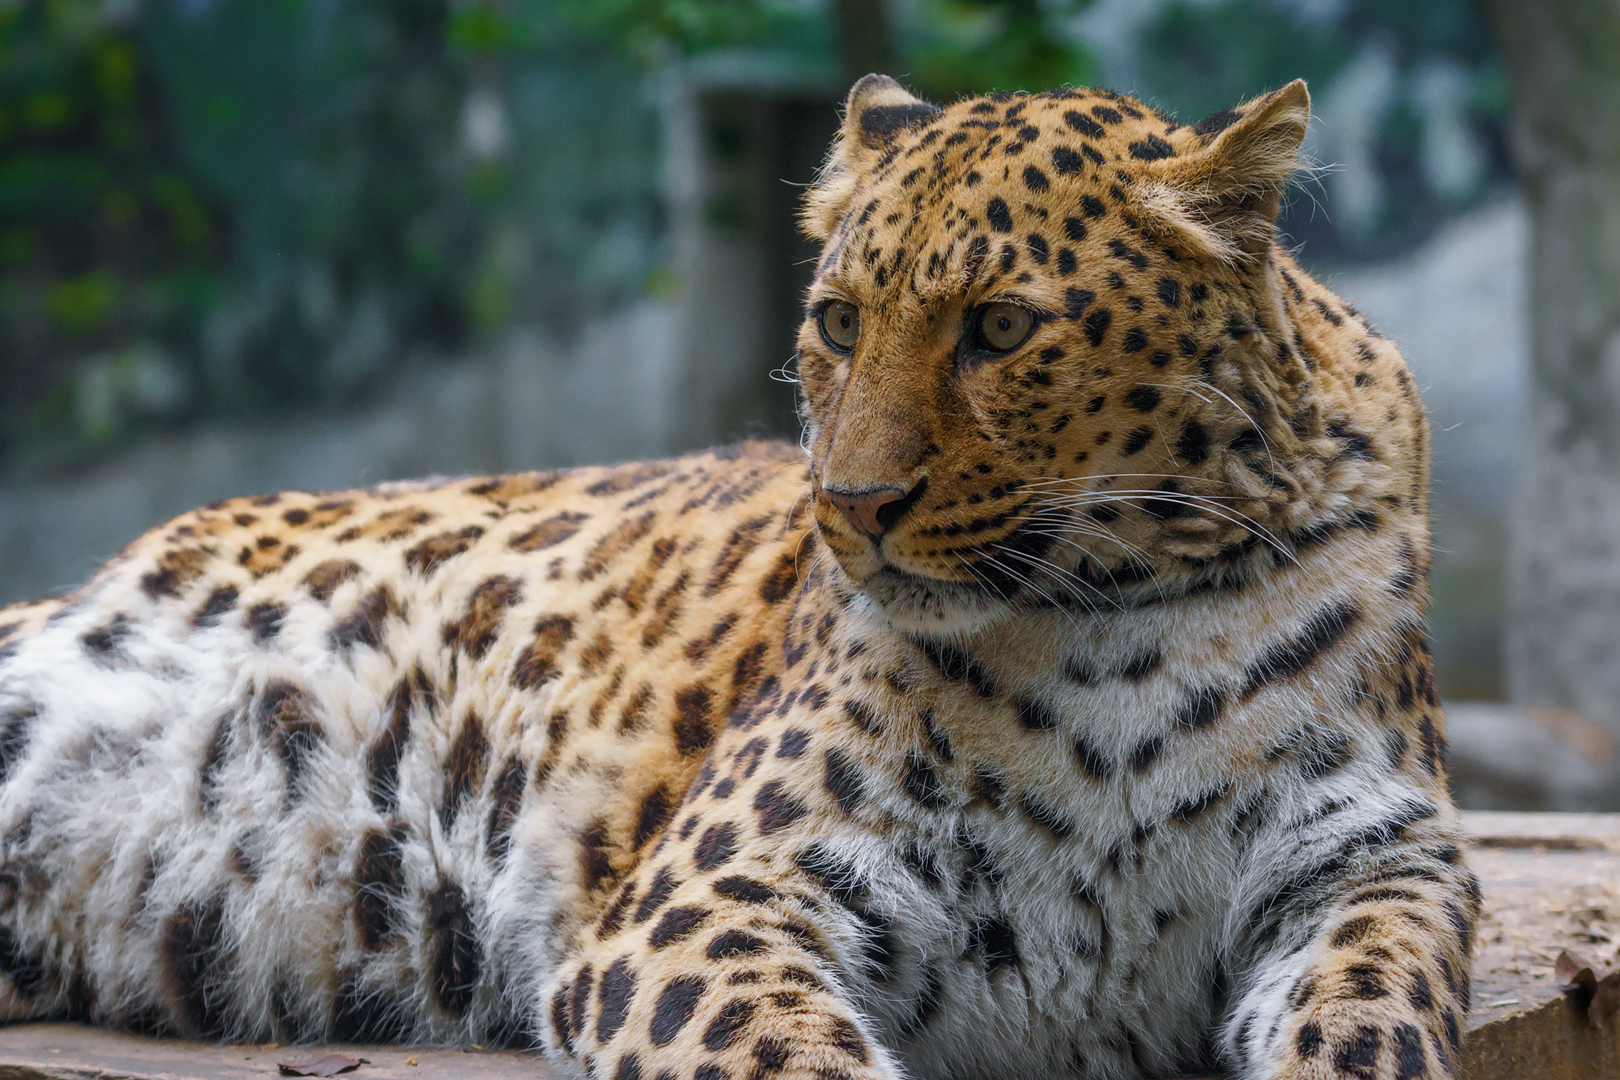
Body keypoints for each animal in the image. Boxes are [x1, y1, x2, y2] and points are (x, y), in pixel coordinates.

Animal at [0, 74, 1476, 1080]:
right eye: (838, 322)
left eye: (1000, 328)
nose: (854, 507)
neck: (1114, 620)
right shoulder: (718, 895)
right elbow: (790, 1056)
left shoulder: (1371, 853)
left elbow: (1378, 1010)